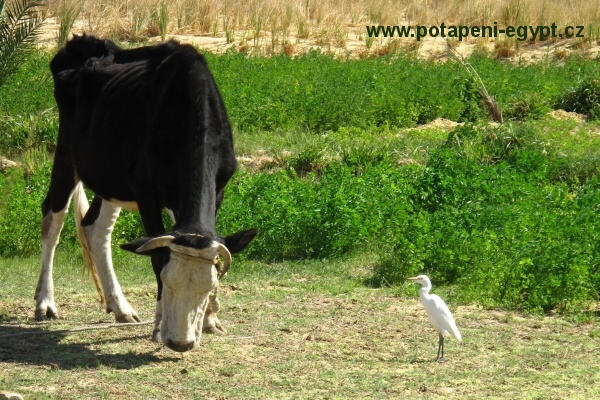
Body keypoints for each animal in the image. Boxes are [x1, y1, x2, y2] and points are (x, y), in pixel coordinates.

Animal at [35, 36, 255, 352]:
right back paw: (45, 303)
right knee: (53, 220)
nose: (181, 342)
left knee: (95, 228)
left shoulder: (218, 189)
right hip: (67, 154)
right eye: (168, 282)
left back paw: (120, 307)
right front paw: (159, 326)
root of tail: (82, 41)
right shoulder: (146, 192)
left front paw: (210, 318)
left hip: (110, 179)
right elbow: (155, 255)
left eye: (208, 287)